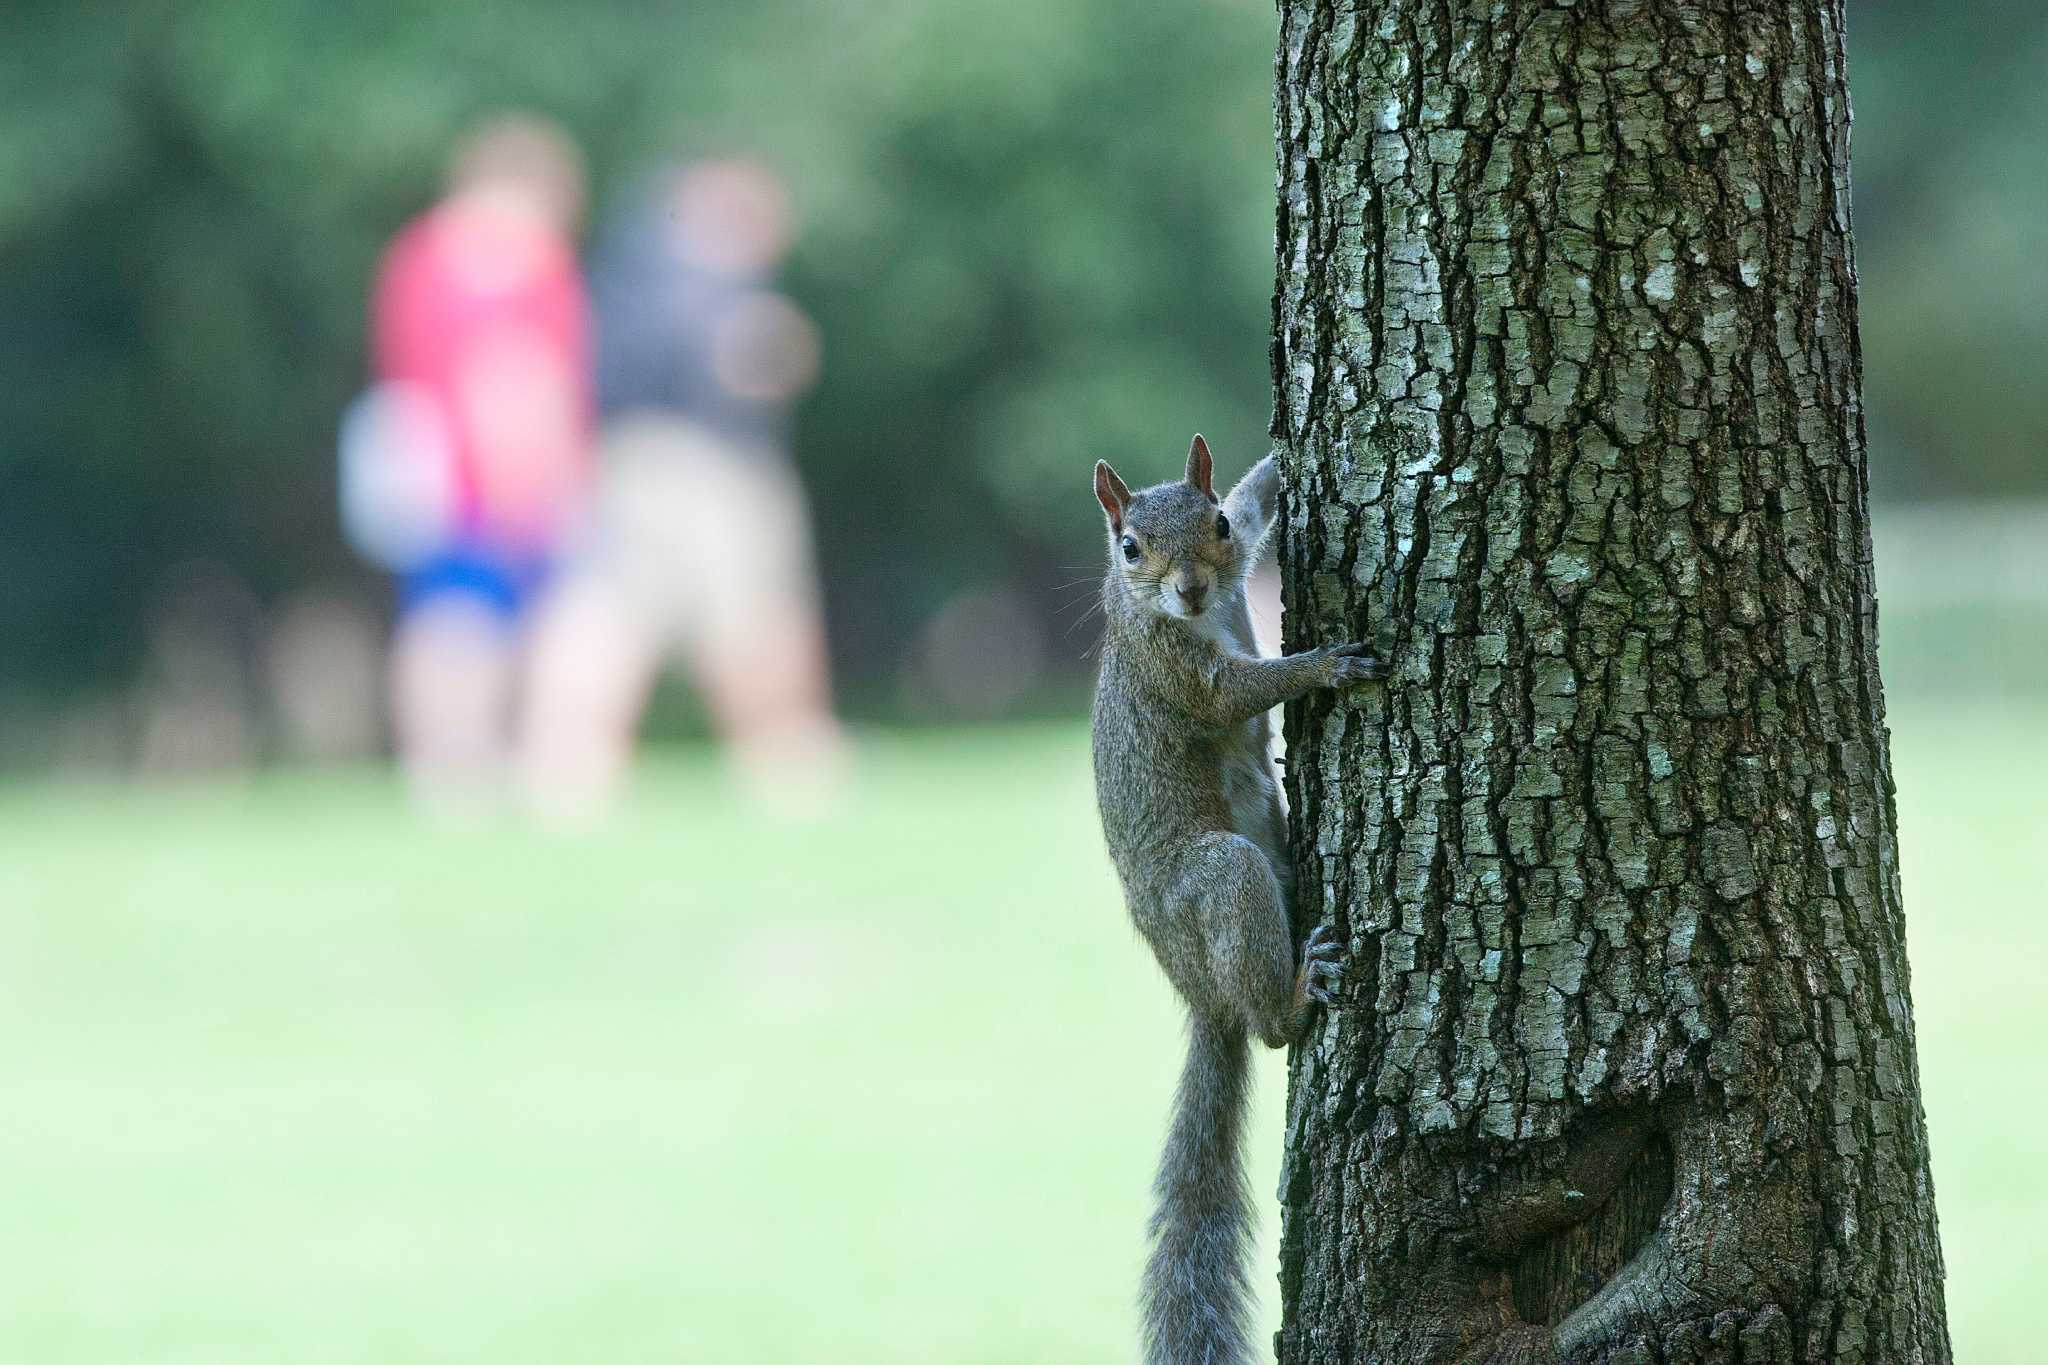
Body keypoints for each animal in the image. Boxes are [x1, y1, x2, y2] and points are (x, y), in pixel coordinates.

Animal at [1090, 434, 1383, 1365]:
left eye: (1216, 523)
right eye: (1129, 548)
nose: (1188, 587)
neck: (1191, 618)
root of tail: (1201, 993)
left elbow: (1261, 505)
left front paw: (1276, 469)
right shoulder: (1178, 670)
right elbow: (1240, 690)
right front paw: (1324, 664)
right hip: (1223, 879)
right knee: (1266, 1029)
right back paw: (1294, 995)